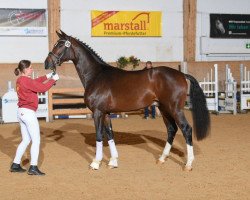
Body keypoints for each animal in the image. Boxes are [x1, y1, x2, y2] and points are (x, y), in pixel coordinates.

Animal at [44, 30, 210, 171]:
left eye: (60, 45)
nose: (47, 63)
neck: (96, 75)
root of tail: (181, 74)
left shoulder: (97, 113)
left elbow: (99, 136)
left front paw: (95, 163)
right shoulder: (106, 113)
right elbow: (110, 135)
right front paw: (113, 162)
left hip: (175, 109)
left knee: (186, 129)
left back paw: (188, 164)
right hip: (164, 109)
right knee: (172, 129)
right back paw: (162, 158)